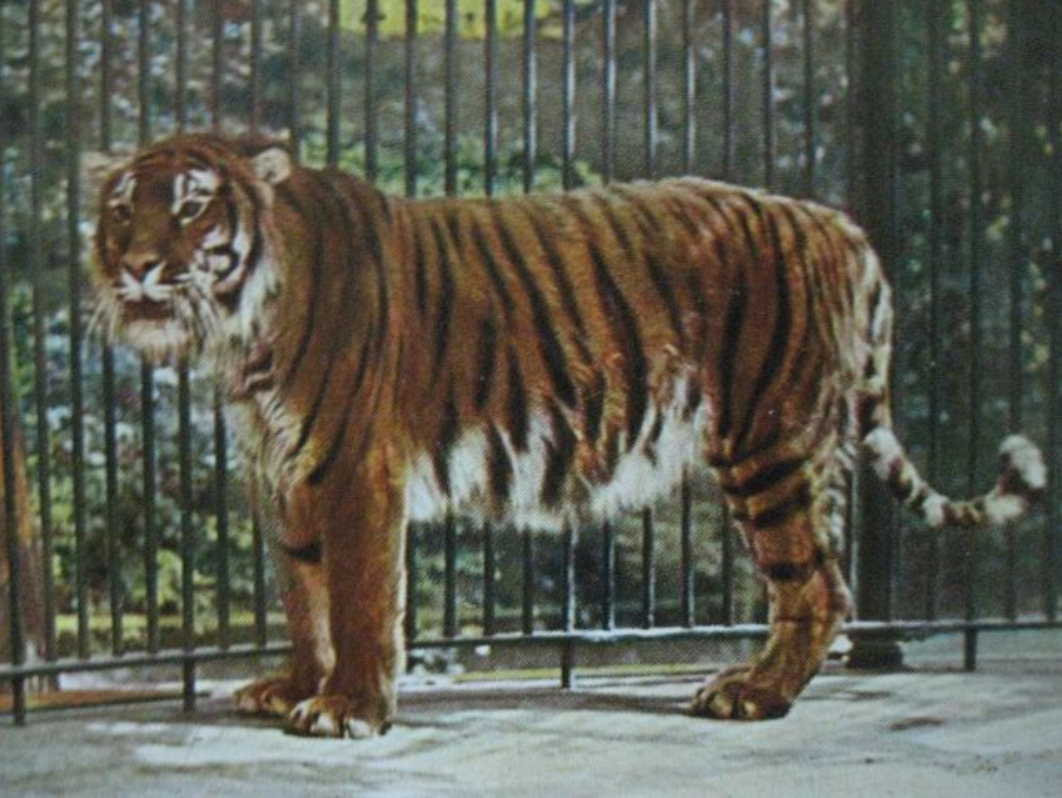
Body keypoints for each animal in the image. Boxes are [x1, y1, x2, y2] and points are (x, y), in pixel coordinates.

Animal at [90, 133, 1045, 738]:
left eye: (190, 208)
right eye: (121, 211)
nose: (136, 266)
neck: (243, 337)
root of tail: (840, 224)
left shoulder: (355, 467)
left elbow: (358, 598)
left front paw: (348, 709)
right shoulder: (285, 477)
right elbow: (303, 596)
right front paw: (296, 686)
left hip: (770, 443)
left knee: (819, 585)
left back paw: (753, 693)